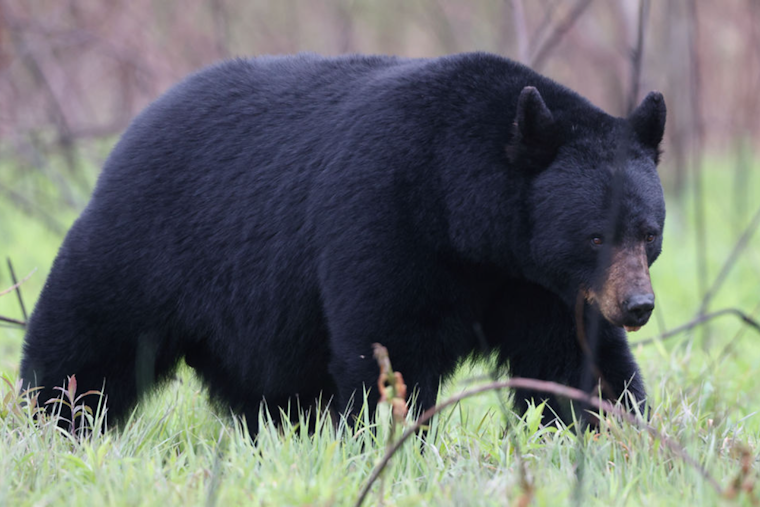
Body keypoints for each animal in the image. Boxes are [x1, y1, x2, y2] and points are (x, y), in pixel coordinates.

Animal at [19, 52, 666, 432]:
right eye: (594, 235)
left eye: (650, 233)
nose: (638, 306)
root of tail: (135, 128)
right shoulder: (387, 217)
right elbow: (390, 344)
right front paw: (390, 442)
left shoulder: (538, 285)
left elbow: (573, 360)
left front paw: (619, 432)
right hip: (148, 240)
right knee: (88, 338)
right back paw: (50, 418)